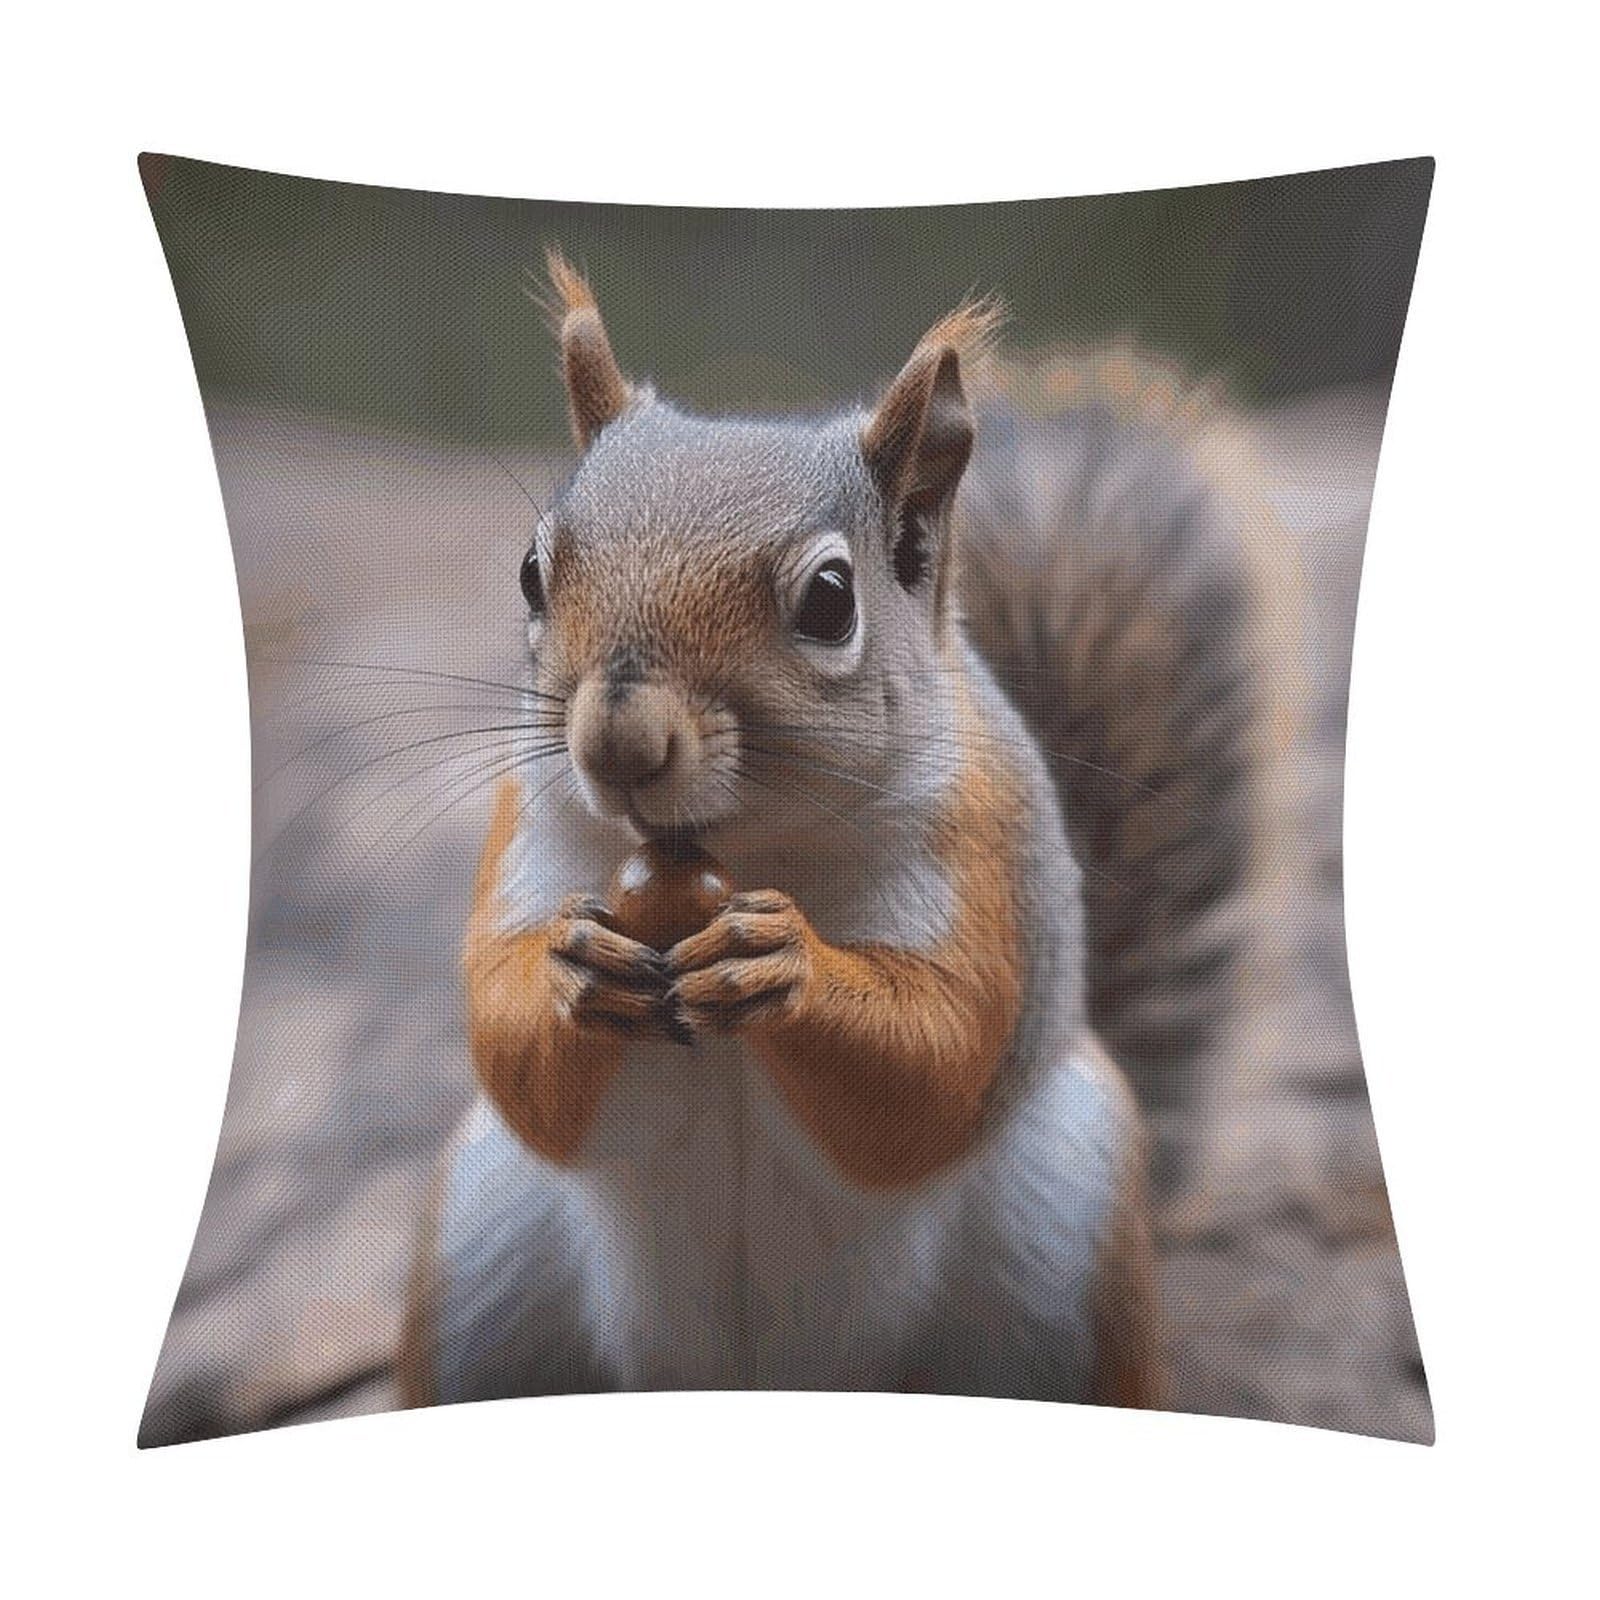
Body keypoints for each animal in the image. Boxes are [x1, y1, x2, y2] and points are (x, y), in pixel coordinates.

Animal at [397, 250, 1271, 1409]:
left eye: (827, 600)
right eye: (533, 573)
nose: (619, 742)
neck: (740, 849)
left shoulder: (981, 855)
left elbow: (938, 1057)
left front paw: (786, 965)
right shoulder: (527, 834)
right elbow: (507, 1049)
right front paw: (569, 969)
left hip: (1064, 1250)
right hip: (483, 1258)